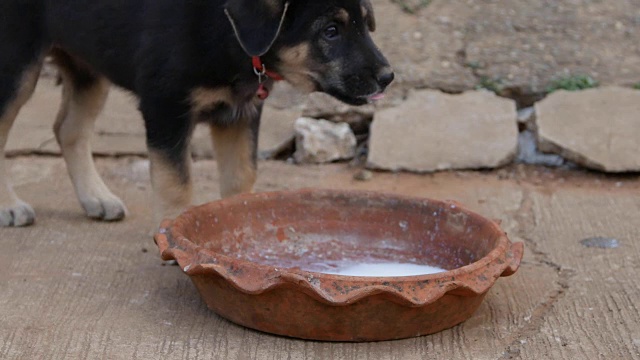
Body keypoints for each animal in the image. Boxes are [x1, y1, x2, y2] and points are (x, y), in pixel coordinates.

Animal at [0, 0, 392, 226]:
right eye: (330, 30)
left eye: (366, 23)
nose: (388, 77)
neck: (228, 31)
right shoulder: (165, 106)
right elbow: (176, 183)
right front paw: (172, 238)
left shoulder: (239, 113)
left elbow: (241, 177)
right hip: (17, 62)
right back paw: (10, 207)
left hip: (88, 63)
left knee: (68, 129)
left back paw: (96, 197)